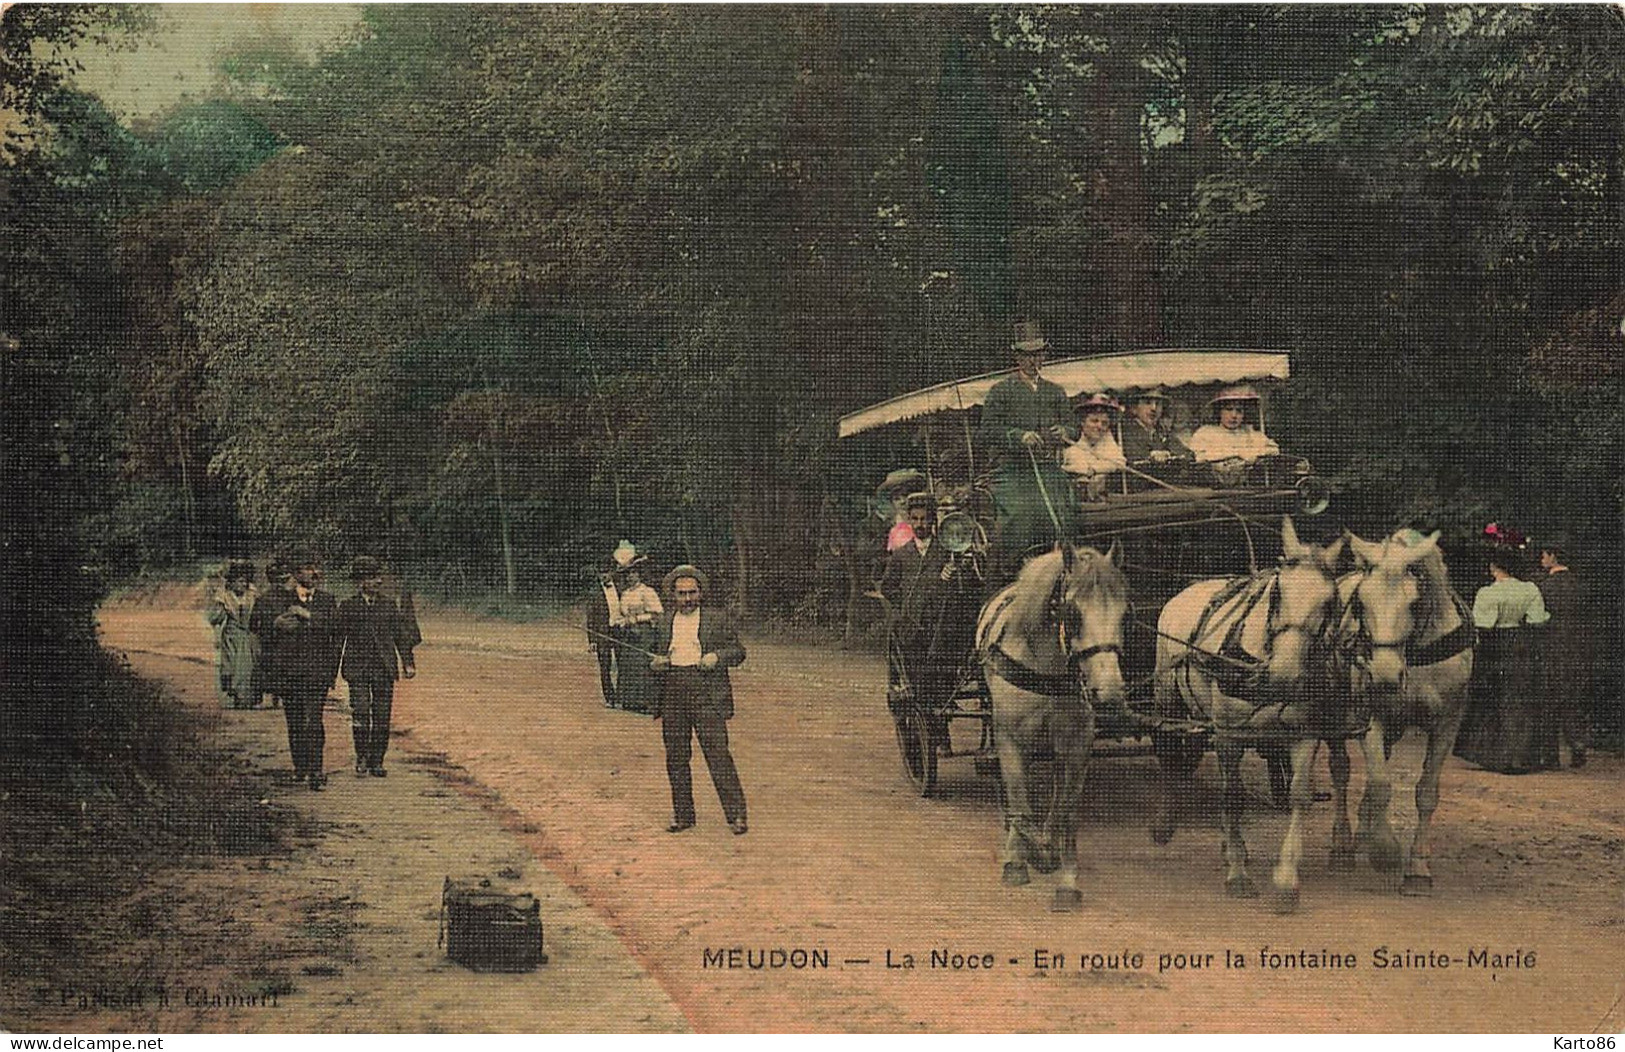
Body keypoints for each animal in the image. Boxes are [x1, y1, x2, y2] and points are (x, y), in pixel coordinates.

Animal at [968, 543, 1124, 910]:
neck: (1047, 669)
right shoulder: (1010, 737)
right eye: (1073, 613)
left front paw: (1065, 877)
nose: (1109, 694)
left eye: (1124, 614)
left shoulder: (1078, 742)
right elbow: (1020, 804)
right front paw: (1019, 859)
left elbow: (1066, 812)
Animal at [1150, 517, 1352, 910]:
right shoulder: (1229, 735)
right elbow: (1232, 797)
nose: (1285, 674)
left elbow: (1299, 795)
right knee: (1169, 753)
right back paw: (1165, 824)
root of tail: (1187, 590)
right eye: (1277, 593)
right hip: (1168, 698)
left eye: (1329, 602)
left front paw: (1286, 880)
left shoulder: (1303, 733)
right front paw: (1238, 873)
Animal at [1332, 530, 1475, 891]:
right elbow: (1381, 783)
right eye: (1361, 603)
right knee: (1340, 771)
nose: (1383, 677)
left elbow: (1426, 792)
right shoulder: (1369, 715)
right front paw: (1385, 850)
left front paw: (1418, 867)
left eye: (1414, 602)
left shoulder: (1448, 722)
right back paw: (1342, 844)